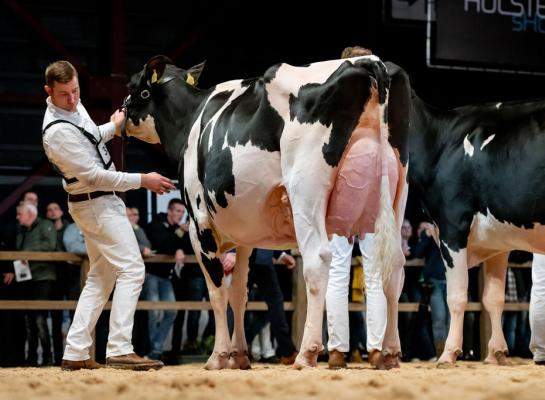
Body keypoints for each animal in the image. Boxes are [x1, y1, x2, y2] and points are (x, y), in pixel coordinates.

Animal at [124, 55, 408, 368]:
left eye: (134, 87)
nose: (120, 114)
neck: (192, 119)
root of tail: (368, 60)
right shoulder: (245, 237)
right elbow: (239, 293)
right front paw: (239, 356)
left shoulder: (199, 226)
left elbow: (217, 292)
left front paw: (218, 356)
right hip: (397, 191)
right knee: (395, 266)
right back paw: (390, 353)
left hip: (306, 190)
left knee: (318, 259)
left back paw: (307, 352)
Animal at [406, 65, 545, 366]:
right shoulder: (498, 238)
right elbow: (493, 297)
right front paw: (496, 353)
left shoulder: (452, 225)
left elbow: (457, 296)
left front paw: (448, 353)